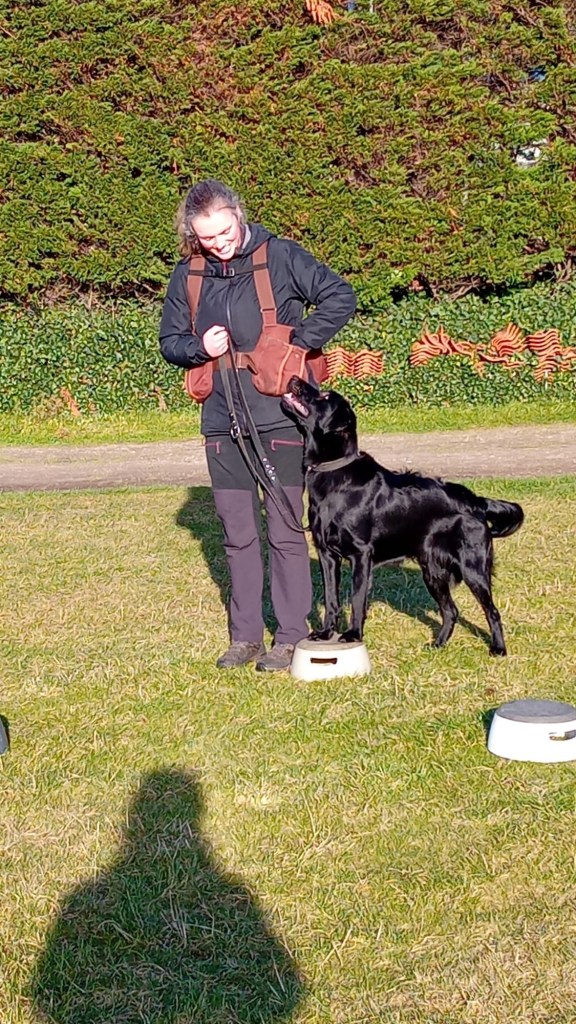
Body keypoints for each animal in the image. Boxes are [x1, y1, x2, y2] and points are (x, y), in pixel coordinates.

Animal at [281, 377, 524, 655]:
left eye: (323, 396)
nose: (294, 379)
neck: (335, 473)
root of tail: (477, 502)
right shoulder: (326, 553)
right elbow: (331, 597)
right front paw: (325, 633)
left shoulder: (361, 554)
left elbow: (356, 598)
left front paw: (353, 634)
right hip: (432, 569)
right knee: (451, 610)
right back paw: (437, 645)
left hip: (472, 567)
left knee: (492, 611)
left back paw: (498, 649)